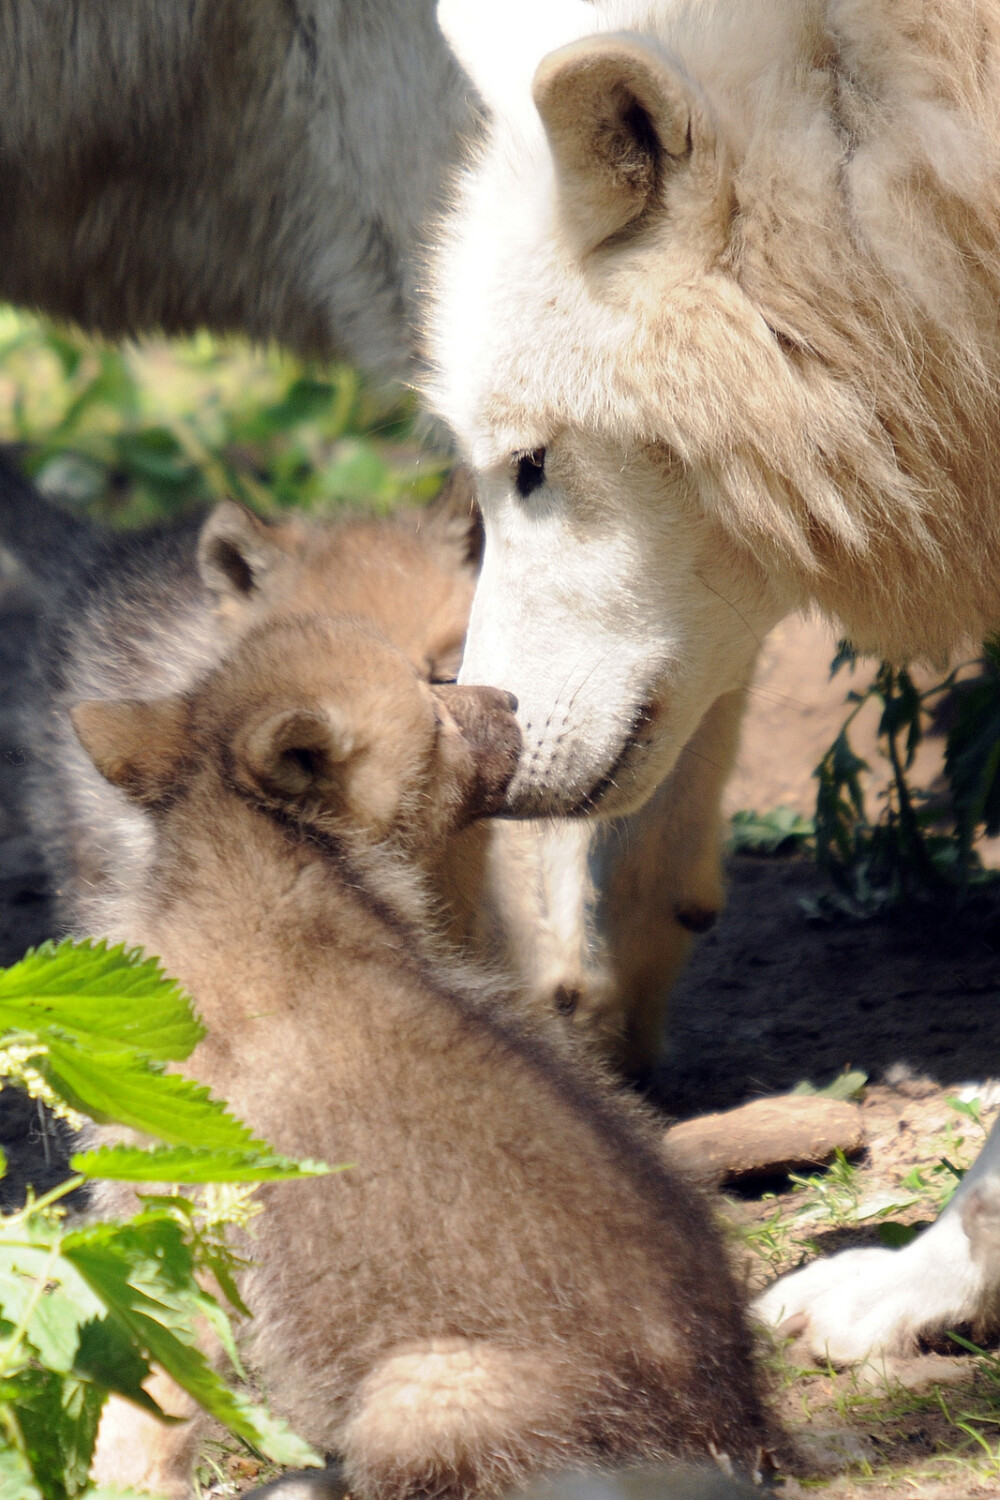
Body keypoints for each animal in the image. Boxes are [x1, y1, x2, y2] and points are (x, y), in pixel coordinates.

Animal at [78, 612, 773, 1500]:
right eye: (433, 712)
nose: (512, 698)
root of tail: (738, 1441)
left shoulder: (174, 1218)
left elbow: (144, 1409)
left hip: (420, 1389)